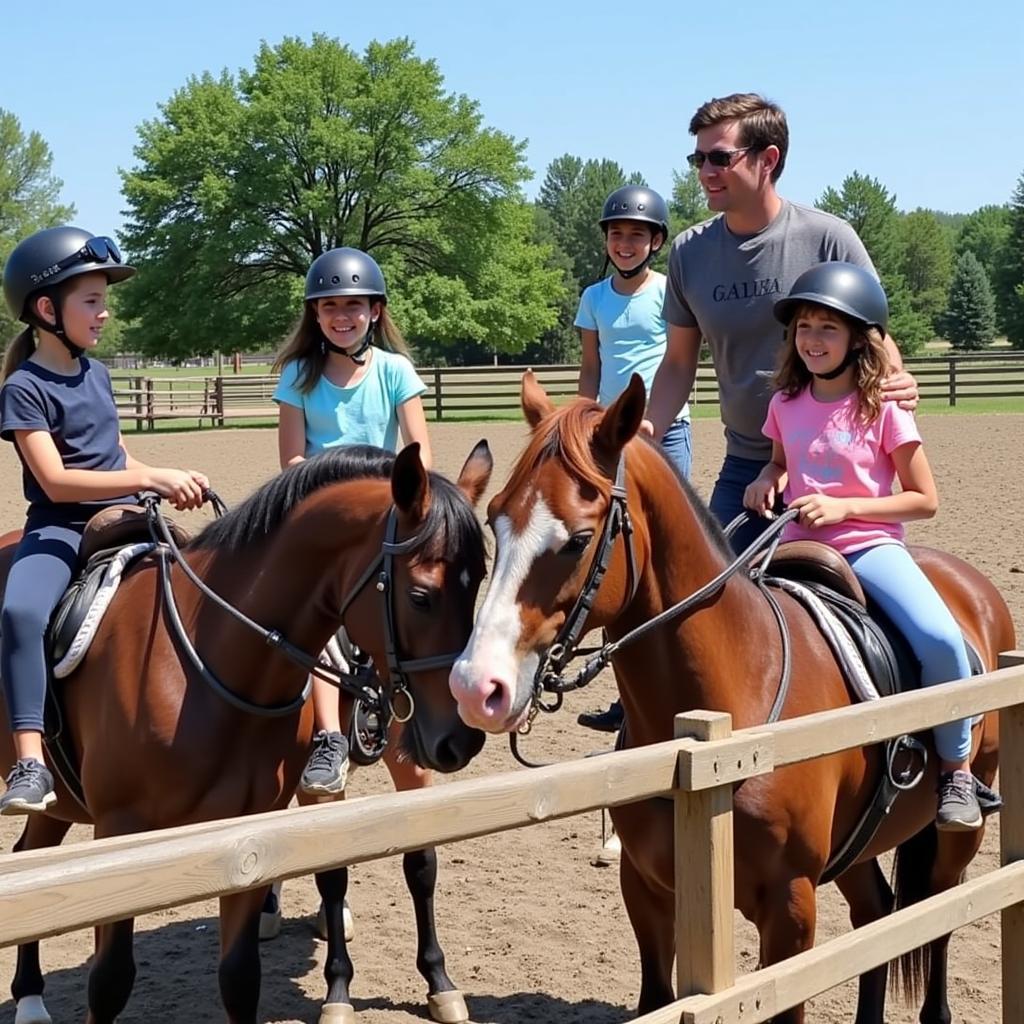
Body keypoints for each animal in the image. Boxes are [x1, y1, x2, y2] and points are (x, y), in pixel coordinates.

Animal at [1, 444, 491, 1024]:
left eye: (480, 581)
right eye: (420, 595)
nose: (462, 737)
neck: (206, 656)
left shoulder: (245, 835)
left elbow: (241, 977)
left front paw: (437, 983)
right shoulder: (120, 830)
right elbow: (110, 981)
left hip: (62, 799)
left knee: (30, 850)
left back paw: (30, 995)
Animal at [450, 370, 1015, 1024]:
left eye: (579, 538)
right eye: (496, 518)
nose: (476, 685)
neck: (719, 729)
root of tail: (973, 589)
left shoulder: (790, 909)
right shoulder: (646, 889)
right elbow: (657, 998)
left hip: (958, 838)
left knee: (937, 917)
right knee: (876, 917)